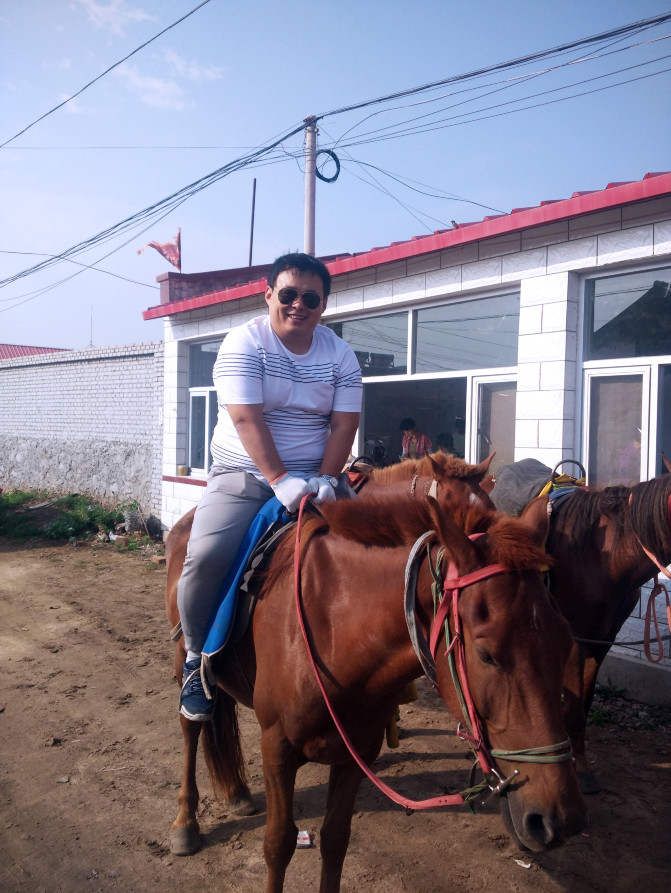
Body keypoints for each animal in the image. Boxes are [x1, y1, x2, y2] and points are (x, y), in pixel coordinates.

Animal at [165, 492, 584, 888]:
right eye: (487, 654)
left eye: (565, 642)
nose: (559, 819)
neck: (333, 626)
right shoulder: (276, 748)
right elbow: (278, 845)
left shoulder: (357, 751)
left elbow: (336, 840)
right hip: (183, 656)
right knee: (190, 726)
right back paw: (185, 823)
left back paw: (237, 792)